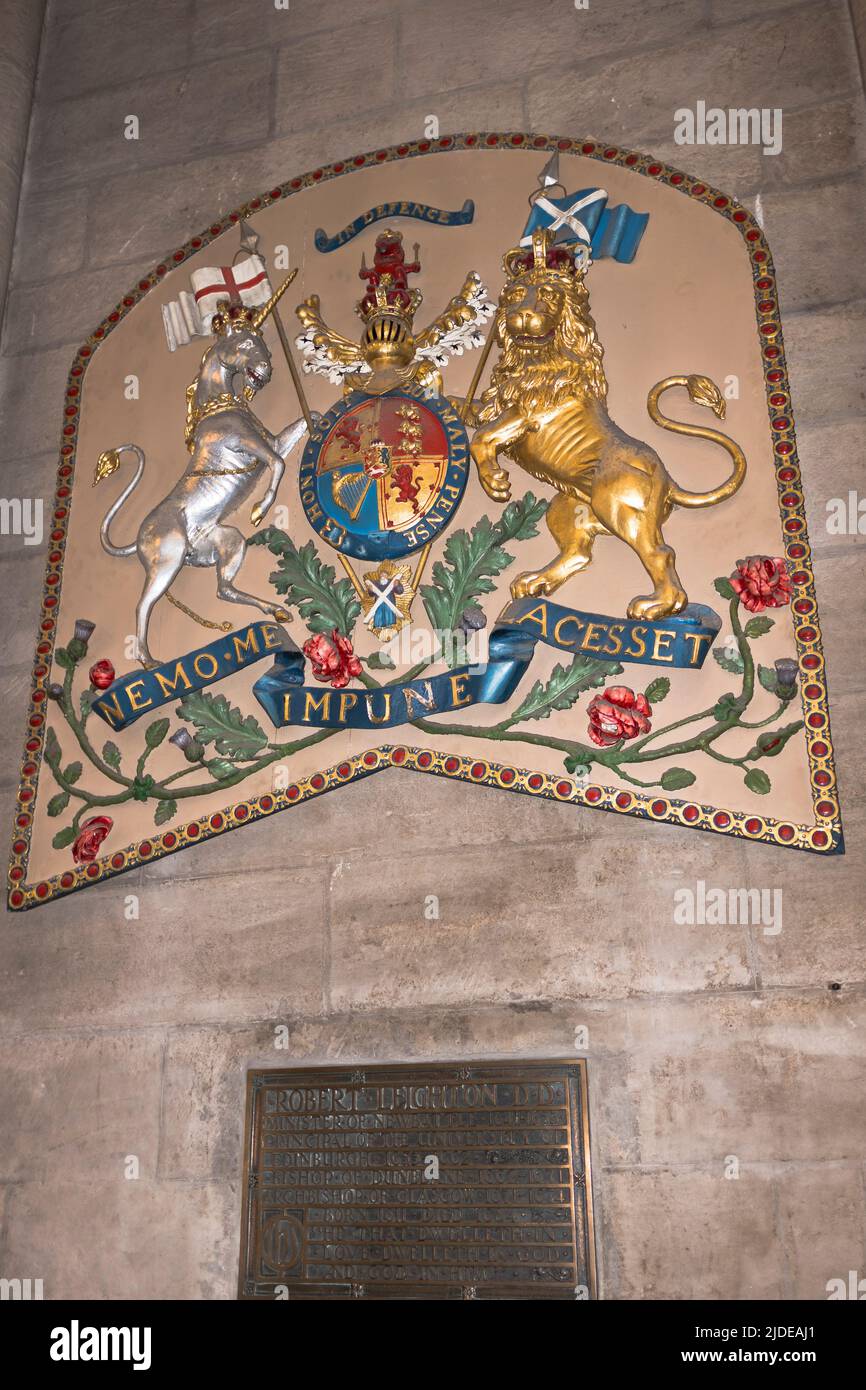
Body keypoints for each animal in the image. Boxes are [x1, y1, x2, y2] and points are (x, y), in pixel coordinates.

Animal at [469, 229, 750, 619]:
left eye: (549, 295)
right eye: (514, 294)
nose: (521, 315)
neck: (536, 360)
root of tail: (669, 480)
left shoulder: (527, 416)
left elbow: (481, 438)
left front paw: (495, 482)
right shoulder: (496, 404)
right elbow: (471, 414)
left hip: (621, 509)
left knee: (661, 554)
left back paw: (655, 606)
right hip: (568, 507)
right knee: (579, 554)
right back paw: (535, 581)